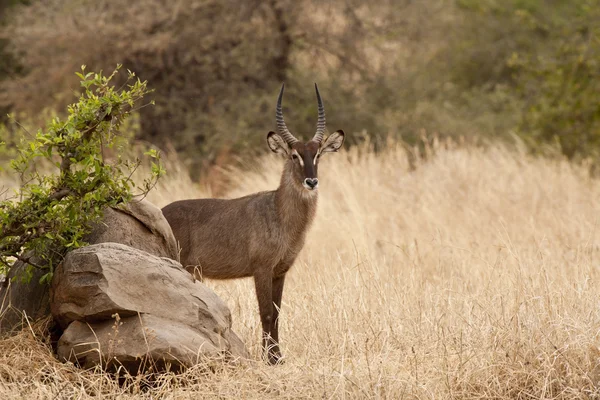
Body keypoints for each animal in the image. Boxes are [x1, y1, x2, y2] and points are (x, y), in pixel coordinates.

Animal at [162, 84, 344, 366]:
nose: (311, 182)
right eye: (294, 155)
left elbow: (277, 313)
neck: (279, 213)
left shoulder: (280, 270)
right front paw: (269, 359)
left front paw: (278, 357)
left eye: (317, 155)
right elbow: (266, 312)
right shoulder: (261, 268)